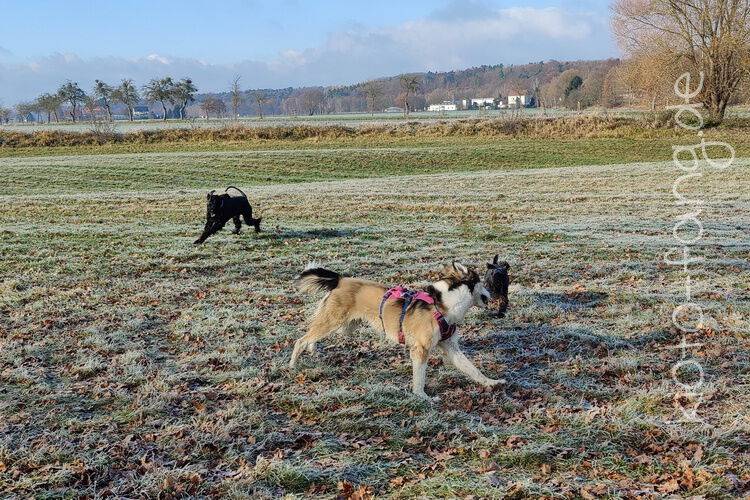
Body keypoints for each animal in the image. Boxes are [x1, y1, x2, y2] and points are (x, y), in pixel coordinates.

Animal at [289, 262, 505, 399]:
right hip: (334, 321)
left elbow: (472, 368)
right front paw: (422, 397)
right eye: (482, 282)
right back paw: (293, 365)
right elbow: (419, 377)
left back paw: (313, 351)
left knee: (312, 337)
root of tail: (340, 280)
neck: (443, 305)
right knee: (301, 340)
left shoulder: (450, 347)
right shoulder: (420, 349)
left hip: (343, 326)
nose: (494, 292)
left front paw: (491, 382)